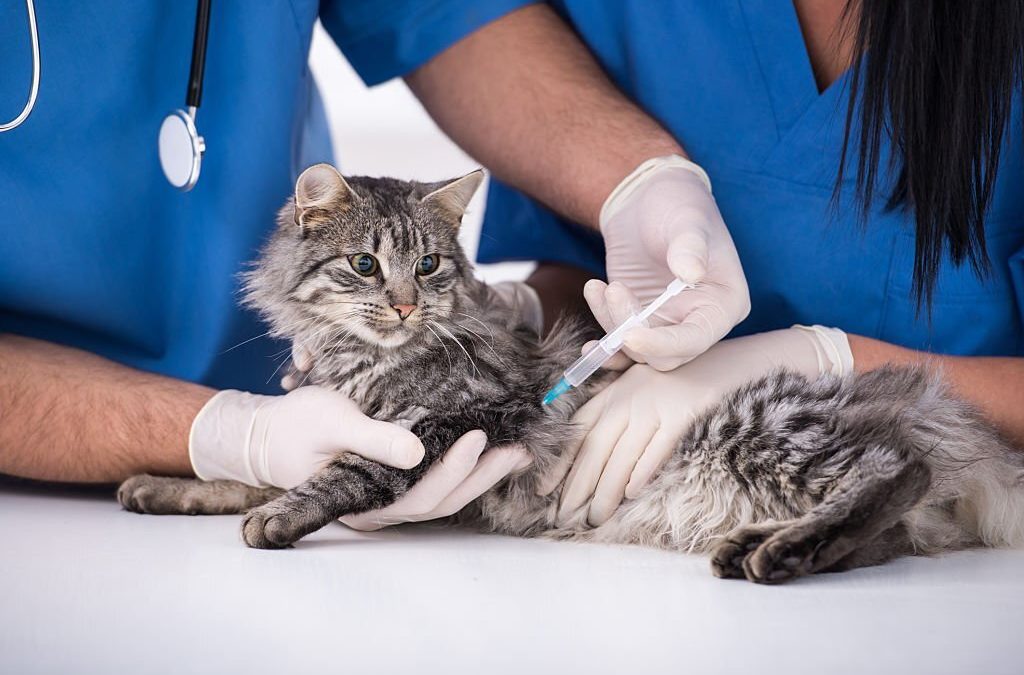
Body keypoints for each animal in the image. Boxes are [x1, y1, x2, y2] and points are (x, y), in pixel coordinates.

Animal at [119, 164, 1024, 585]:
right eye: (365, 264)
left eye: (430, 264)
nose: (406, 304)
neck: (363, 360)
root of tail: (913, 401)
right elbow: (252, 469)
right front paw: (168, 484)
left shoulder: (471, 419)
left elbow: (347, 471)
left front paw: (279, 517)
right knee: (887, 532)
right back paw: (763, 545)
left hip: (762, 428)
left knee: (896, 474)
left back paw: (779, 551)